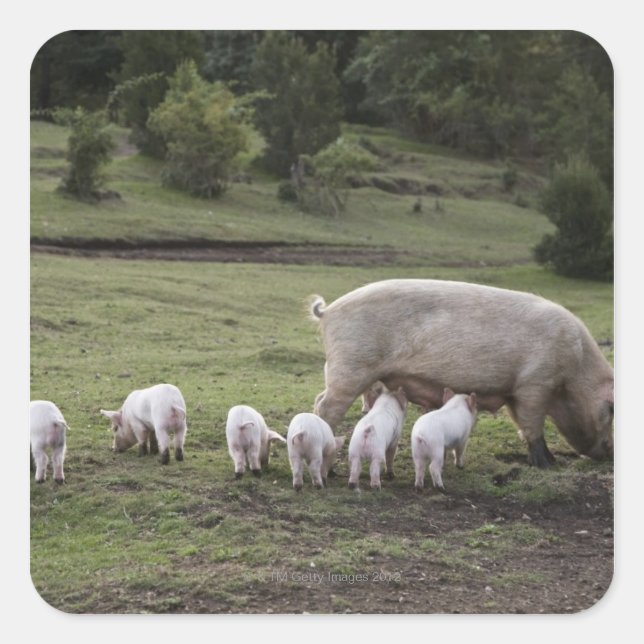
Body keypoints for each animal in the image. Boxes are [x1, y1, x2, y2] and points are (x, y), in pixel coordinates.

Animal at [309, 279, 614, 468]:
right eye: (611, 411)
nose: (608, 455)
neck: (575, 372)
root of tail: (329, 311)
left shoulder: (514, 391)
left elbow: (522, 425)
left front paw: (550, 461)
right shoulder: (535, 384)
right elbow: (533, 425)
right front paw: (548, 465)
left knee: (319, 399)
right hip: (350, 366)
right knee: (326, 406)